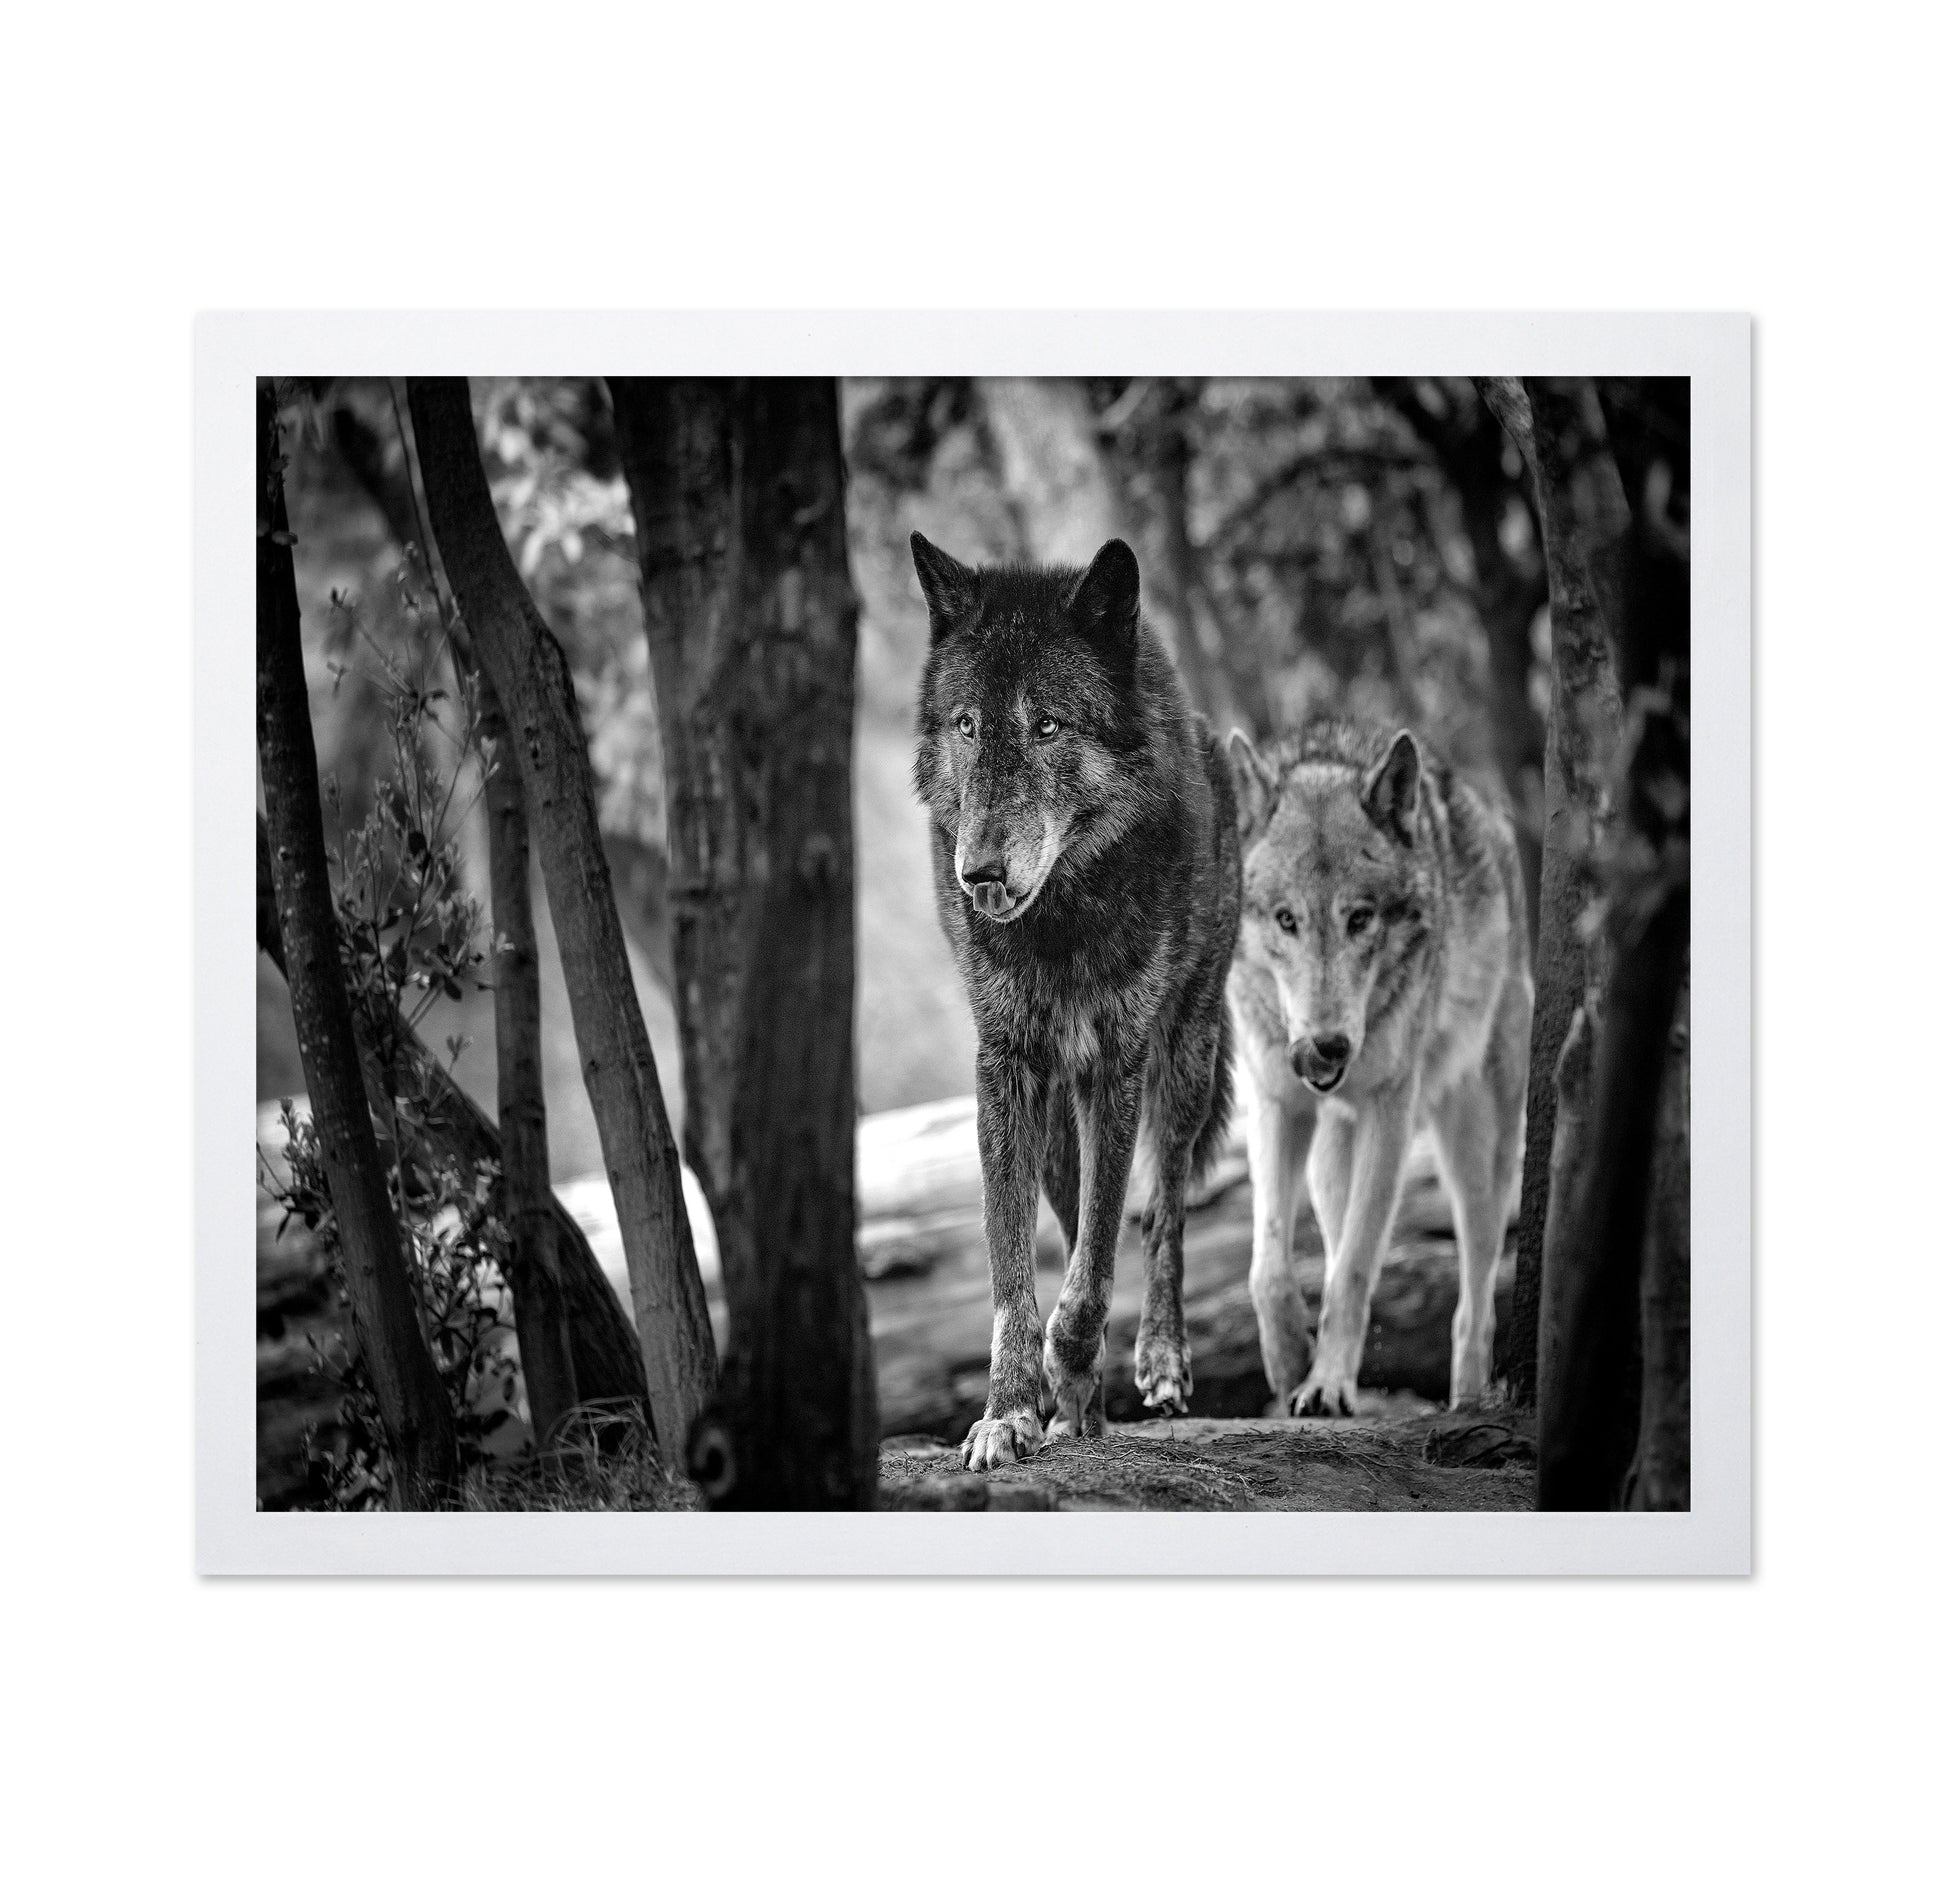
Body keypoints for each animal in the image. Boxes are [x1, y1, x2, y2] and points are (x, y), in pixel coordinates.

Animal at [910, 532, 1241, 1469]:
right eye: (967, 724)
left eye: (1048, 724)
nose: (978, 873)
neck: (1058, 922)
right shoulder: (1005, 1067)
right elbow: (1012, 1271)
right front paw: (1011, 1410)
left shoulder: (1117, 1065)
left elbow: (1096, 1265)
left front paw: (1068, 1359)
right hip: (1057, 1118)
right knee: (1069, 1217)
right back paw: (1077, 1409)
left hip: (1185, 1055)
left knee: (1163, 1211)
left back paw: (1158, 1359)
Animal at [1226, 719, 1532, 1415]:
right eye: (1286, 919)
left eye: (1360, 918)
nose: (1326, 1047)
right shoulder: (1275, 1103)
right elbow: (1268, 1266)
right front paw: (1292, 1363)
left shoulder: (1389, 1112)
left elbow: (1357, 1268)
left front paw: (1328, 1382)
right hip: (1328, 1160)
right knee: (1333, 1235)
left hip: (1476, 1153)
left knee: (1475, 1300)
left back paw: (1468, 1402)